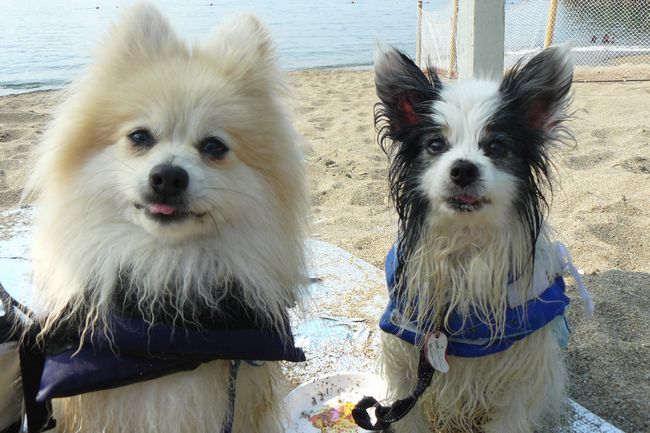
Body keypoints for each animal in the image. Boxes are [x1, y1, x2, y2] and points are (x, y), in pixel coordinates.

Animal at [373, 47, 577, 433]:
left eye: (496, 146)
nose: (463, 169)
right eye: (435, 144)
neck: (464, 245)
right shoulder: (408, 355)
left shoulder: (521, 373)